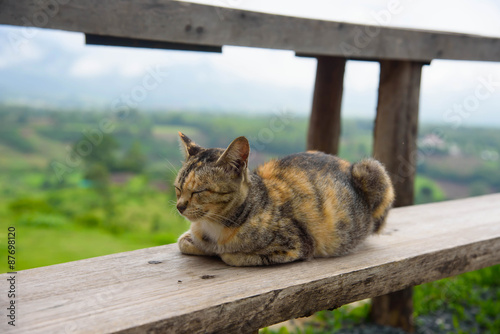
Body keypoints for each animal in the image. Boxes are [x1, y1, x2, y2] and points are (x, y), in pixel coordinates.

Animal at [175, 132, 394, 266]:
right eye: (178, 188)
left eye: (198, 191)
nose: (179, 207)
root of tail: (347, 163)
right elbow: (183, 242)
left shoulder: (297, 245)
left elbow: (230, 256)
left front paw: (221, 252)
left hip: (372, 169)